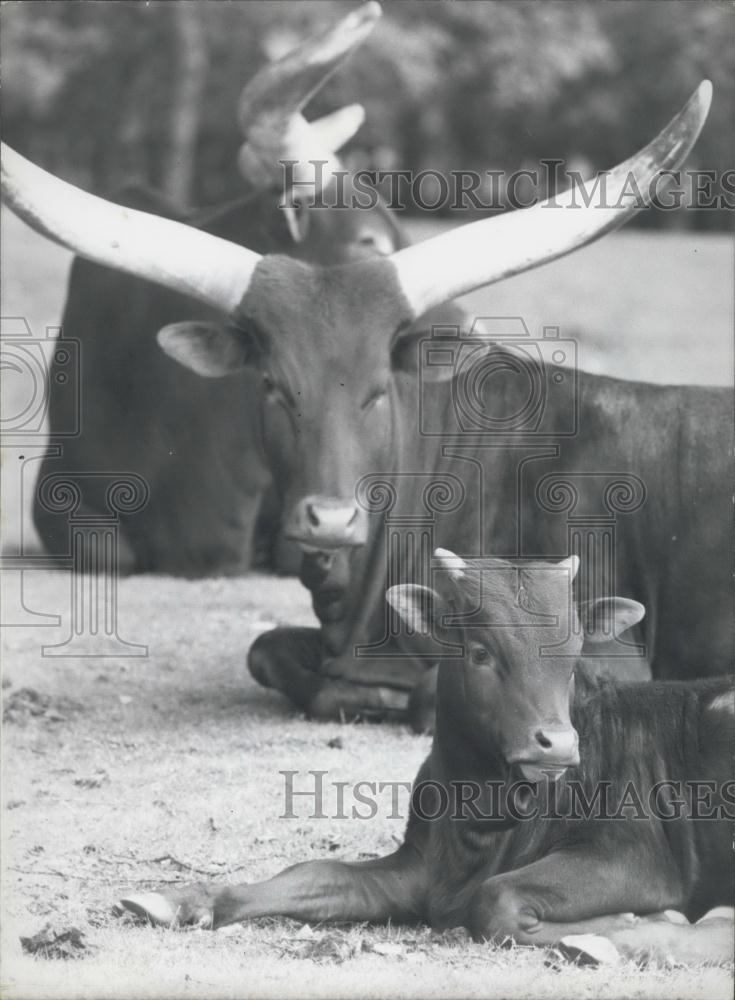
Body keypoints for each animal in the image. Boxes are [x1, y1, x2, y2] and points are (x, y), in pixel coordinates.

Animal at [118, 549, 735, 965]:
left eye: (576, 651)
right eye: (481, 652)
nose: (558, 745)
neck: (484, 814)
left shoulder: (635, 857)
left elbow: (497, 899)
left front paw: (616, 928)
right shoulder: (418, 868)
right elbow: (313, 873)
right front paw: (179, 900)